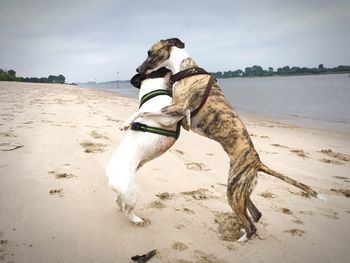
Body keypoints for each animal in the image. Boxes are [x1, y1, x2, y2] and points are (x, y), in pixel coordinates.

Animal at [106, 67, 189, 225]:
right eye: (161, 69)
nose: (169, 68)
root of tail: (110, 179)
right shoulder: (167, 117)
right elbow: (143, 111)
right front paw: (126, 123)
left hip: (125, 192)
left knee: (118, 200)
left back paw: (121, 208)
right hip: (133, 192)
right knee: (128, 209)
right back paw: (137, 220)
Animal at [135, 38, 324, 242]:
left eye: (150, 53)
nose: (138, 69)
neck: (185, 68)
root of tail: (257, 162)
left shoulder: (178, 107)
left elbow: (146, 110)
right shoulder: (177, 111)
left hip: (234, 190)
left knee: (251, 225)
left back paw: (240, 239)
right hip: (242, 190)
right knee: (256, 215)